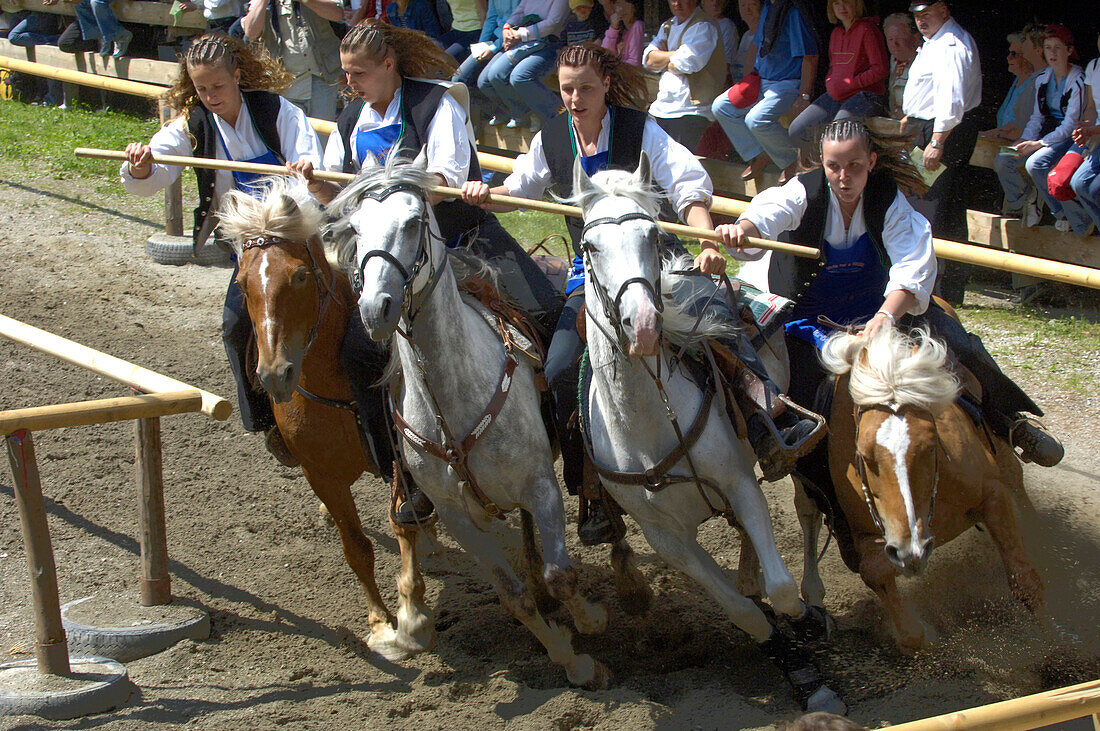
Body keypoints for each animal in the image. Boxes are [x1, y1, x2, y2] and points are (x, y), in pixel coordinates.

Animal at [216, 179, 431, 659]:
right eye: (242, 282)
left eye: (299, 276)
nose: (274, 374)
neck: (333, 385)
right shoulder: (321, 475)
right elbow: (356, 548)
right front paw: (380, 624)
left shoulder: (397, 456)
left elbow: (403, 524)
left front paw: (410, 613)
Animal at [330, 157, 616, 685]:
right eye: (355, 229)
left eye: (413, 223)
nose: (376, 309)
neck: (451, 401)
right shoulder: (456, 515)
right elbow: (513, 595)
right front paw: (569, 655)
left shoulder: (541, 485)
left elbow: (562, 576)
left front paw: (590, 623)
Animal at [572, 154, 844, 712]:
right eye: (590, 247)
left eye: (653, 236)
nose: (644, 325)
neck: (649, 424)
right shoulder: (668, 540)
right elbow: (743, 611)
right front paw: (800, 670)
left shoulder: (739, 484)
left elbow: (782, 590)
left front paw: (807, 624)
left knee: (806, 512)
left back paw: (814, 593)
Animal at [805, 327, 1042, 646]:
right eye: (864, 456)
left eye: (931, 445)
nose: (913, 550)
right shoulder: (867, 538)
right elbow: (884, 588)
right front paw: (924, 636)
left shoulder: (993, 494)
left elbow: (1026, 583)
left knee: (1016, 479)